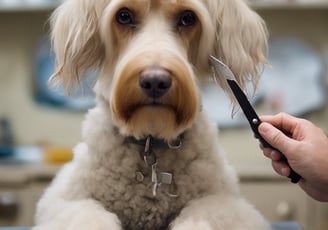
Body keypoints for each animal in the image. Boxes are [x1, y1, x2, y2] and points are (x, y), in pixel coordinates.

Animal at [33, 0, 270, 230]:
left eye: (188, 18)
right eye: (124, 16)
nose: (155, 81)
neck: (150, 141)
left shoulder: (229, 203)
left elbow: (201, 214)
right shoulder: (63, 199)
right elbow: (90, 215)